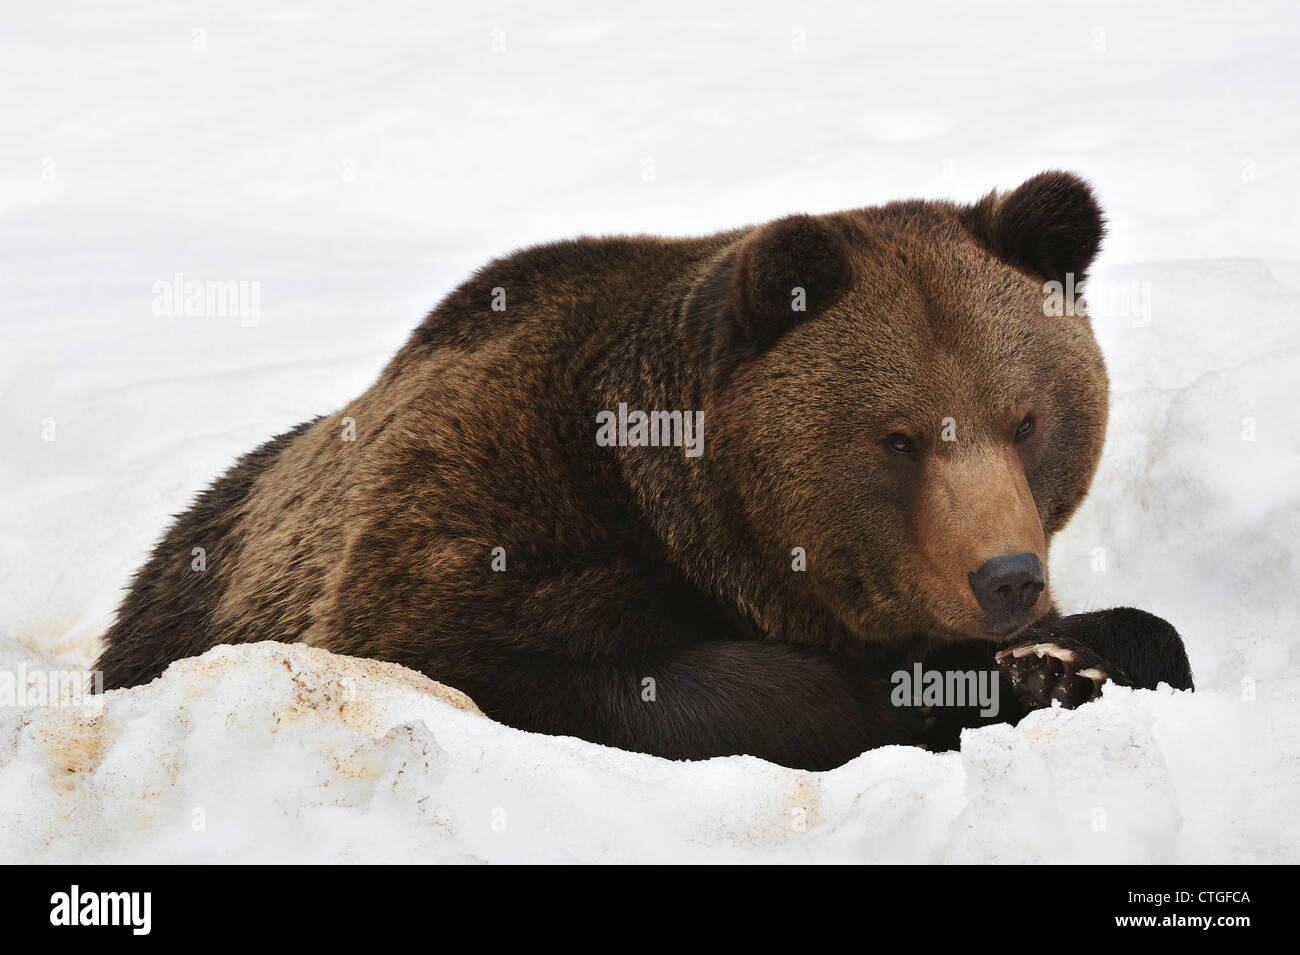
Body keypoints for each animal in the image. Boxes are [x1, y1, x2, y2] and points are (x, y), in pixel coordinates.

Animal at [94, 170, 1190, 769]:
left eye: (1027, 418)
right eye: (899, 437)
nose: (1005, 577)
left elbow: (1147, 635)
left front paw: (1068, 662)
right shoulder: (476, 520)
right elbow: (529, 663)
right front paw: (929, 692)